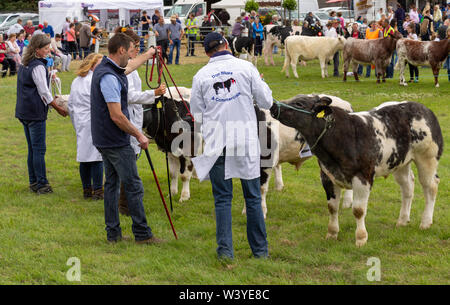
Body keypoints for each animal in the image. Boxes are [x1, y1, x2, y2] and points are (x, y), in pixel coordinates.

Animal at [270, 96, 442, 246]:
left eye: (299, 103)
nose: (272, 106)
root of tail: (423, 108)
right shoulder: (327, 175)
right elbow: (332, 207)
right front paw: (332, 233)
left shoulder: (363, 176)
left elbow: (358, 210)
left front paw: (361, 238)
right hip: (400, 162)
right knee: (407, 187)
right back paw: (402, 220)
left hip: (427, 158)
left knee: (431, 186)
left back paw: (426, 222)